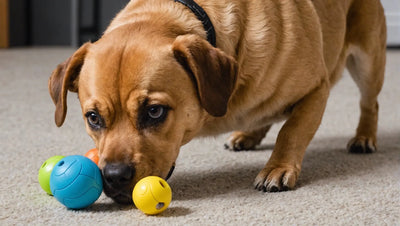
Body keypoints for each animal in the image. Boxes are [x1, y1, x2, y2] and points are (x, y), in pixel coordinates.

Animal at [48, 0, 386, 204]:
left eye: (154, 112)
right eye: (93, 118)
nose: (115, 177)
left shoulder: (317, 89)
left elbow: (291, 132)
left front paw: (278, 167)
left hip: (368, 62)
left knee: (370, 104)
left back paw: (364, 137)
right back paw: (248, 134)